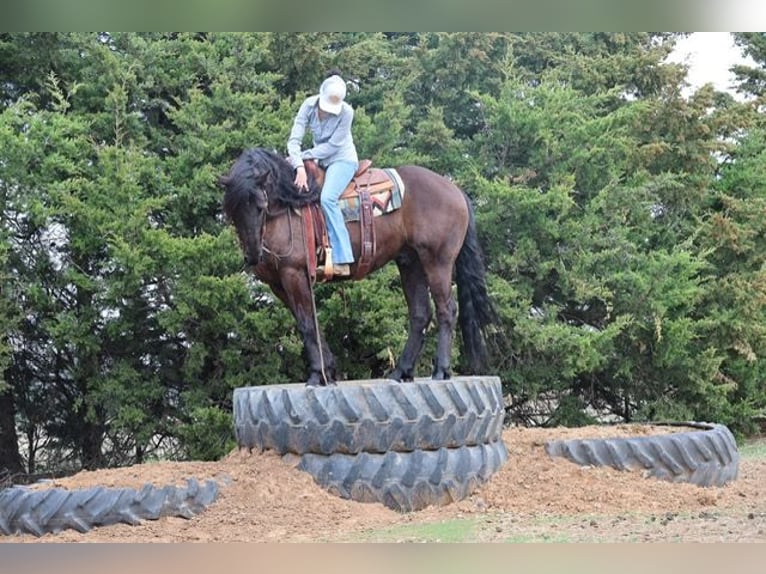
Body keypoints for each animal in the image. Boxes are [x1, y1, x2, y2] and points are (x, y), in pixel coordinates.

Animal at [220, 147, 496, 387]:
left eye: (260, 206)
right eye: (233, 210)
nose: (253, 255)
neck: (287, 207)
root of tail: (455, 190)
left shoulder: (294, 274)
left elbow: (307, 324)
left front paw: (316, 375)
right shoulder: (278, 283)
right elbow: (309, 321)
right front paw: (328, 372)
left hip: (437, 261)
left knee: (447, 310)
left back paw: (441, 370)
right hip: (411, 262)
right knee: (420, 314)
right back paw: (401, 371)